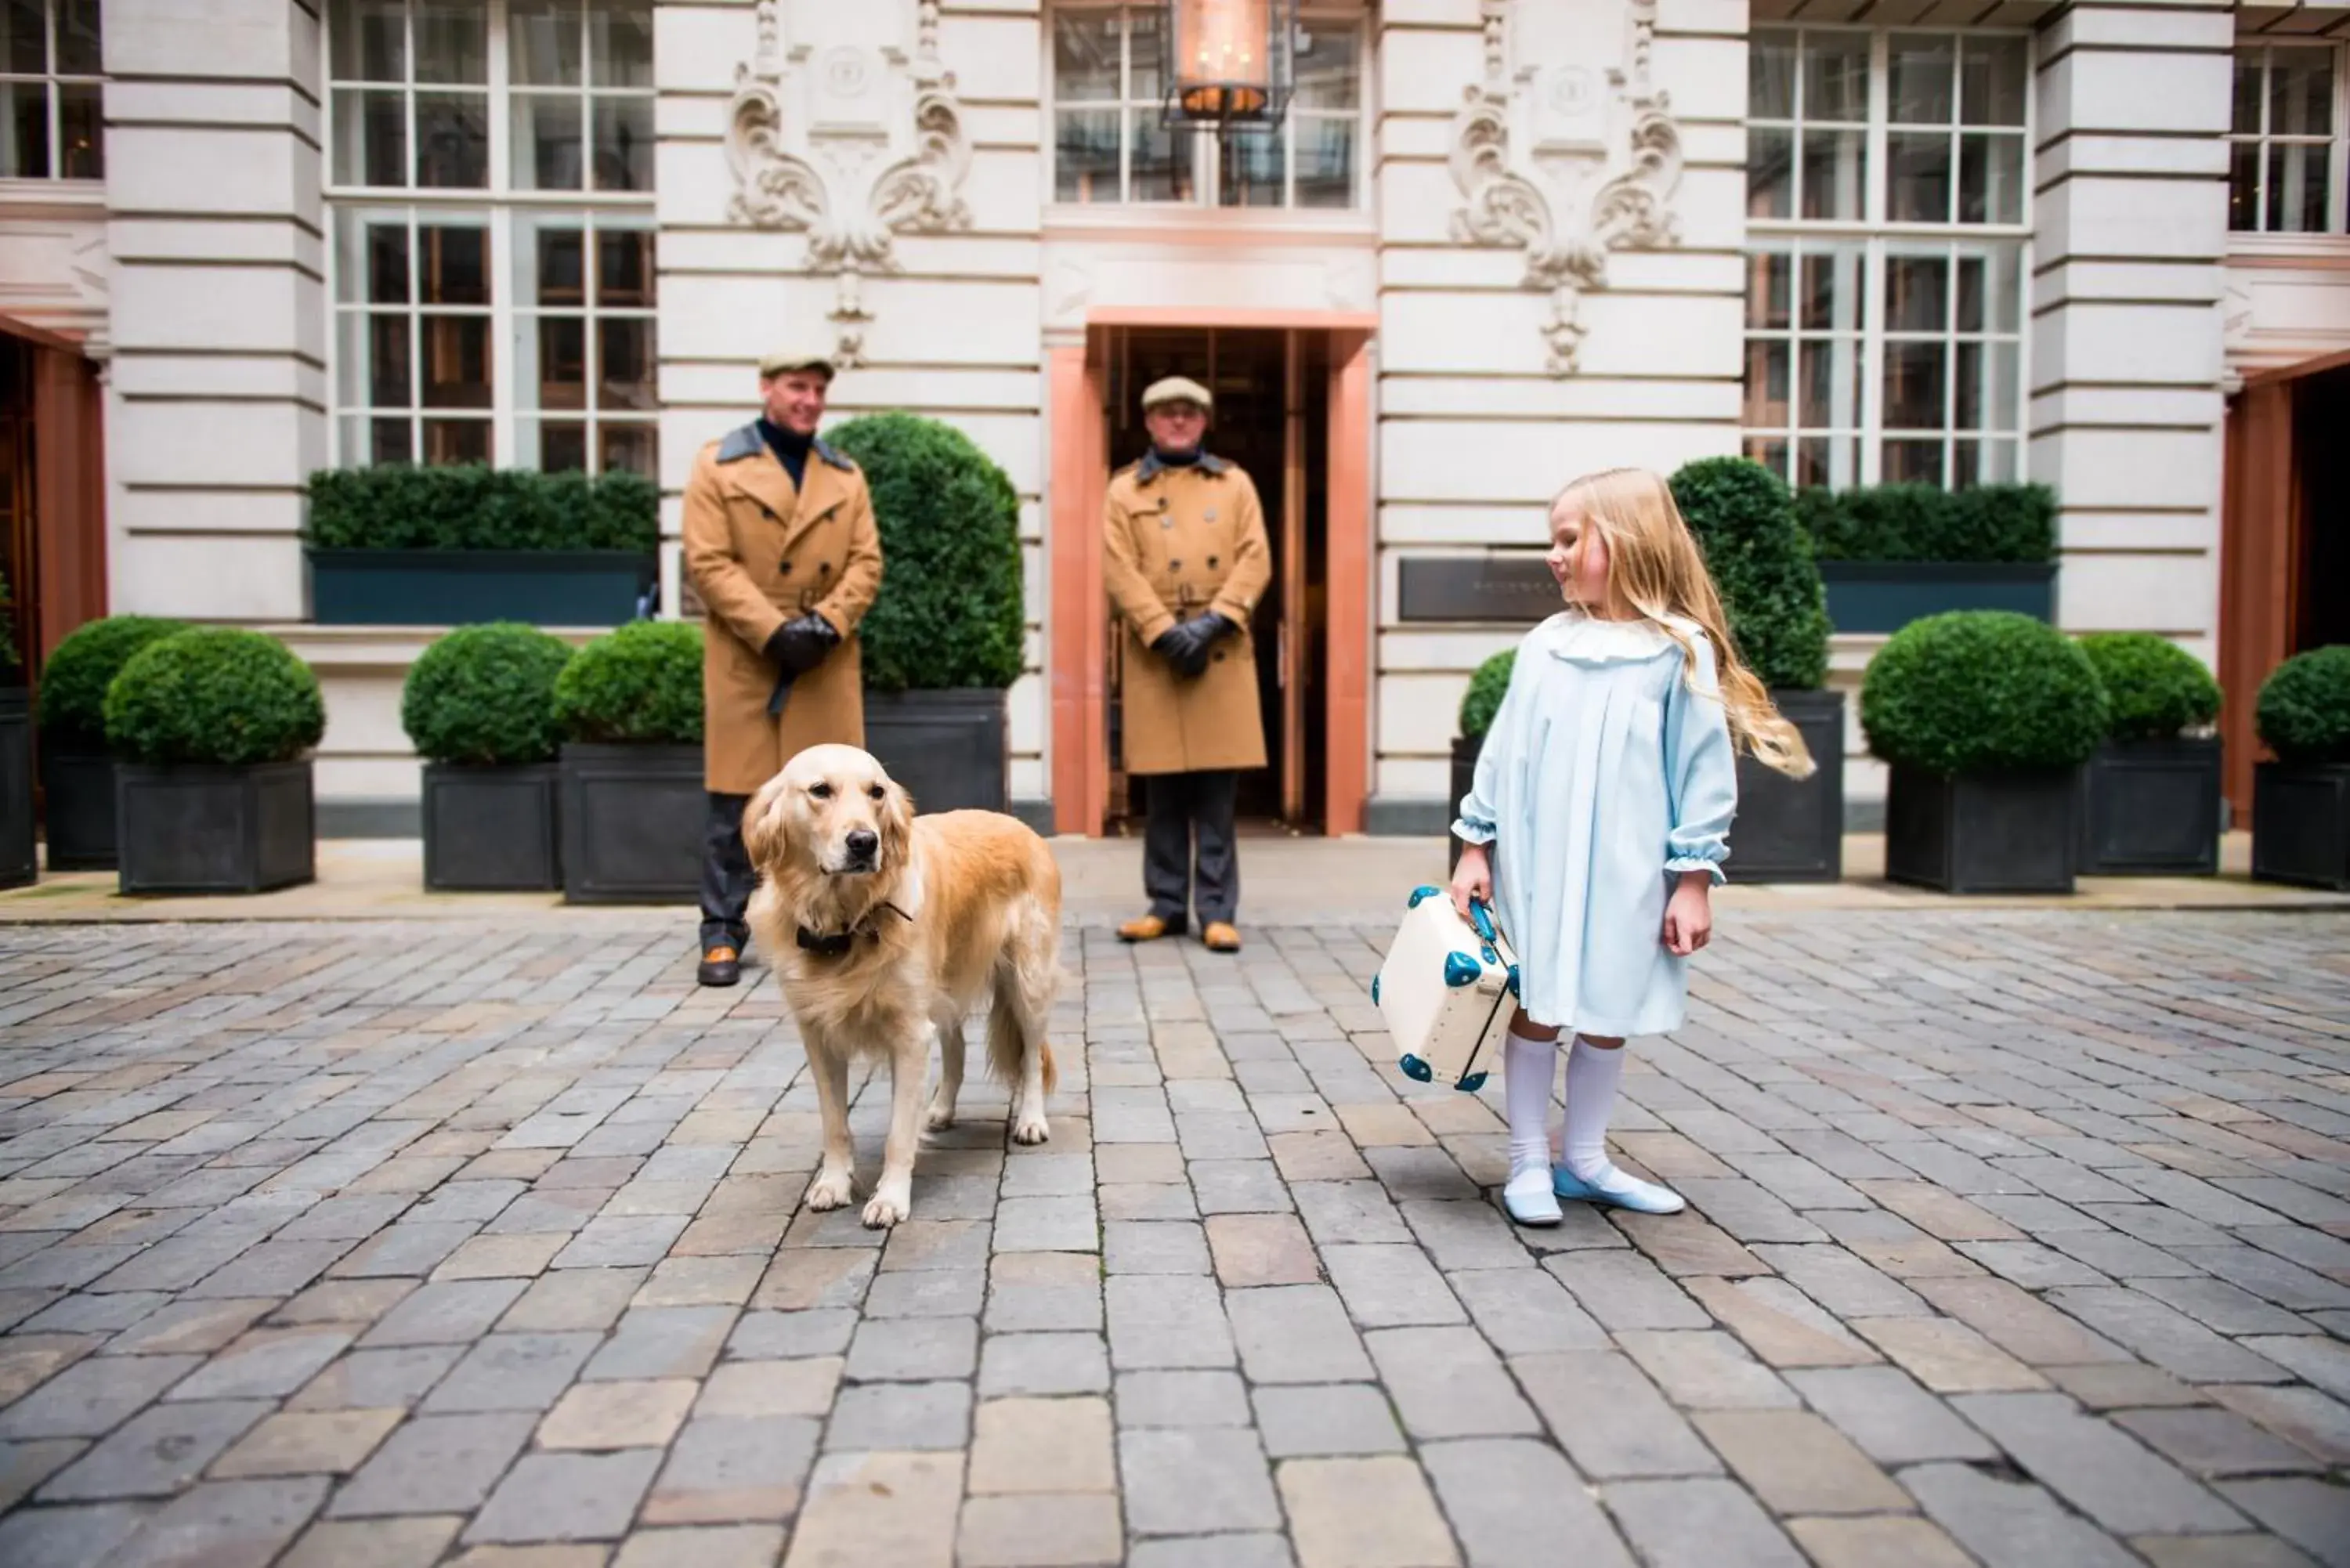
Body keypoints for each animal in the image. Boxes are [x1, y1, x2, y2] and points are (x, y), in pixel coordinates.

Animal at [747, 742, 1062, 1231]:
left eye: (876, 792)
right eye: (820, 790)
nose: (864, 842)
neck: (846, 922)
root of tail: (1021, 825)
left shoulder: (910, 1035)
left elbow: (898, 1132)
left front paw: (890, 1199)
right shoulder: (818, 1036)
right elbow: (834, 1124)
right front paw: (833, 1183)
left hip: (1028, 980)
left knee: (1030, 1057)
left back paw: (1030, 1120)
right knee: (956, 1048)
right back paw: (940, 1109)